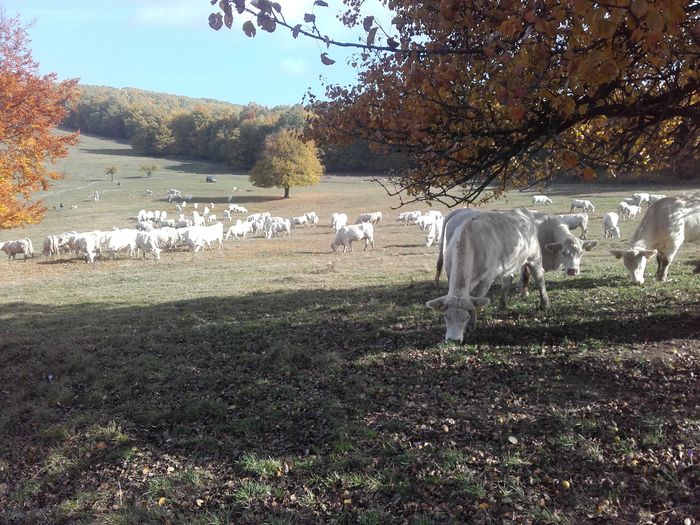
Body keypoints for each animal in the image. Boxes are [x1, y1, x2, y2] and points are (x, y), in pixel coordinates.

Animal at [424, 207, 548, 342]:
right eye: (446, 316)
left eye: (466, 317)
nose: (453, 340)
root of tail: (522, 211)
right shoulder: (450, 273)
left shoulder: (486, 279)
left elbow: (477, 299)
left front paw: (471, 326)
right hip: (508, 263)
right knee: (507, 281)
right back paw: (502, 305)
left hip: (534, 257)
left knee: (539, 278)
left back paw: (544, 303)